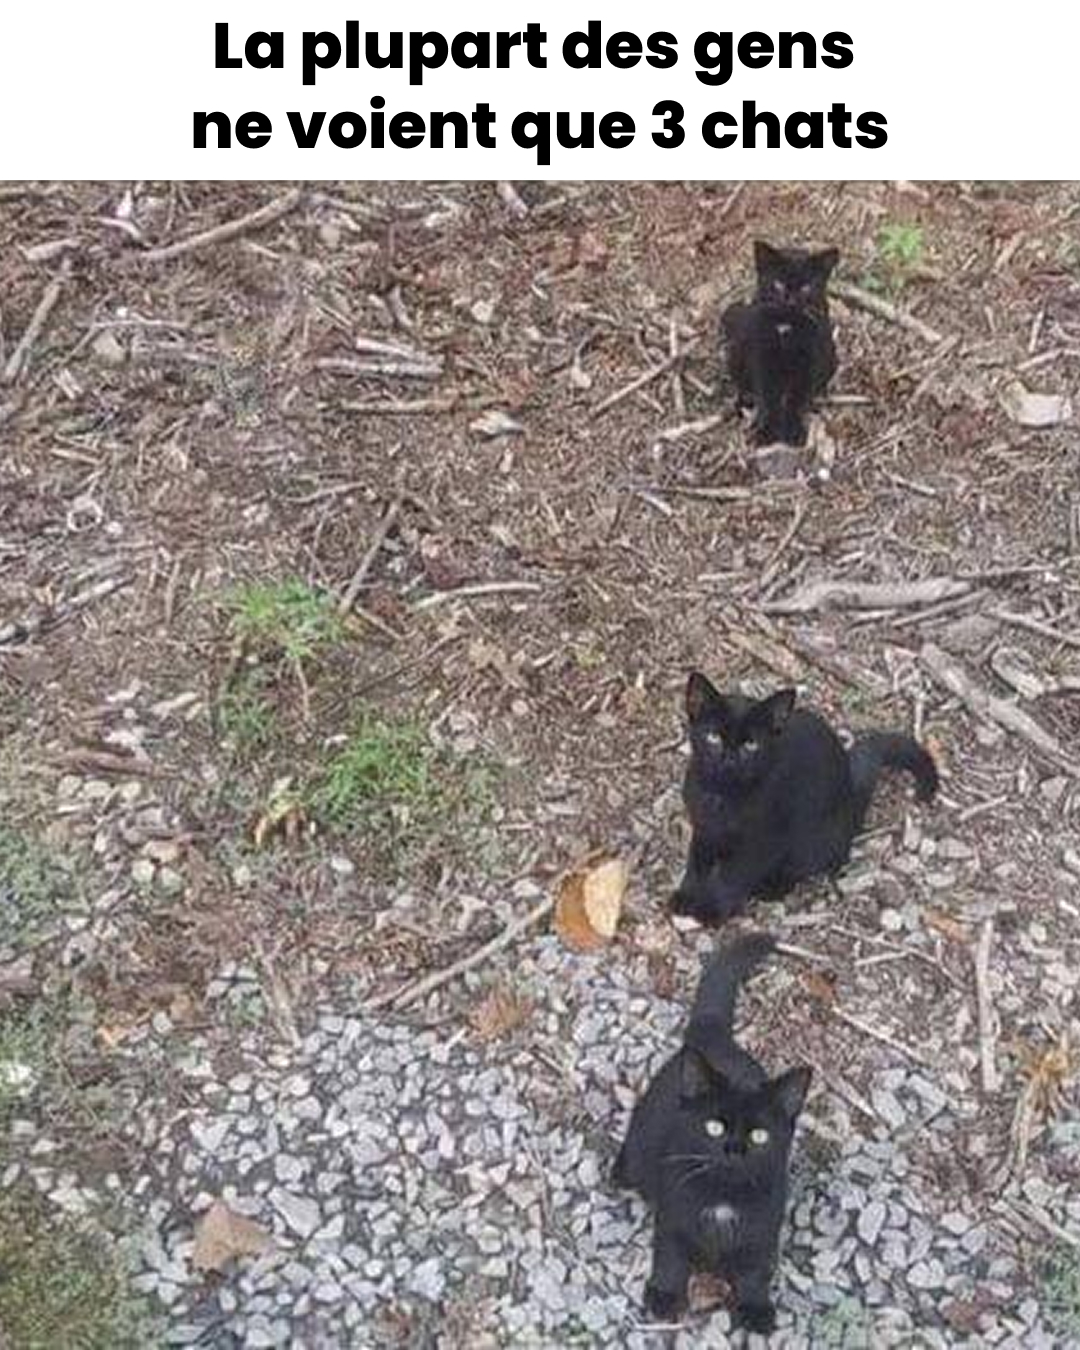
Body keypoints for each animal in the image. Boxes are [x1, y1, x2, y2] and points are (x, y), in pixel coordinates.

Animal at [613, 932, 810, 1334]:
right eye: (714, 1127)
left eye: (760, 1136)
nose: (734, 1149)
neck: (723, 1198)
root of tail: (715, 1038)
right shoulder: (673, 1215)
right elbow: (670, 1257)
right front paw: (664, 1297)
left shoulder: (763, 1230)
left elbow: (755, 1271)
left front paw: (755, 1309)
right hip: (643, 1144)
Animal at [670, 672, 938, 925]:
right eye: (713, 737)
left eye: (751, 744)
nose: (729, 758)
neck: (722, 794)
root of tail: (851, 794)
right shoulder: (704, 827)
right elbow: (697, 861)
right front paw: (686, 896)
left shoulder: (763, 840)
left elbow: (733, 875)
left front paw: (711, 910)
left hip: (811, 843)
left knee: (816, 864)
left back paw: (770, 887)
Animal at [721, 241, 839, 447]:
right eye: (778, 284)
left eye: (806, 287)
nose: (790, 299)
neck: (787, 327)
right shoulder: (762, 357)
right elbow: (769, 397)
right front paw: (767, 432)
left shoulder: (810, 360)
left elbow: (796, 399)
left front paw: (793, 431)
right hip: (736, 352)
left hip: (831, 356)